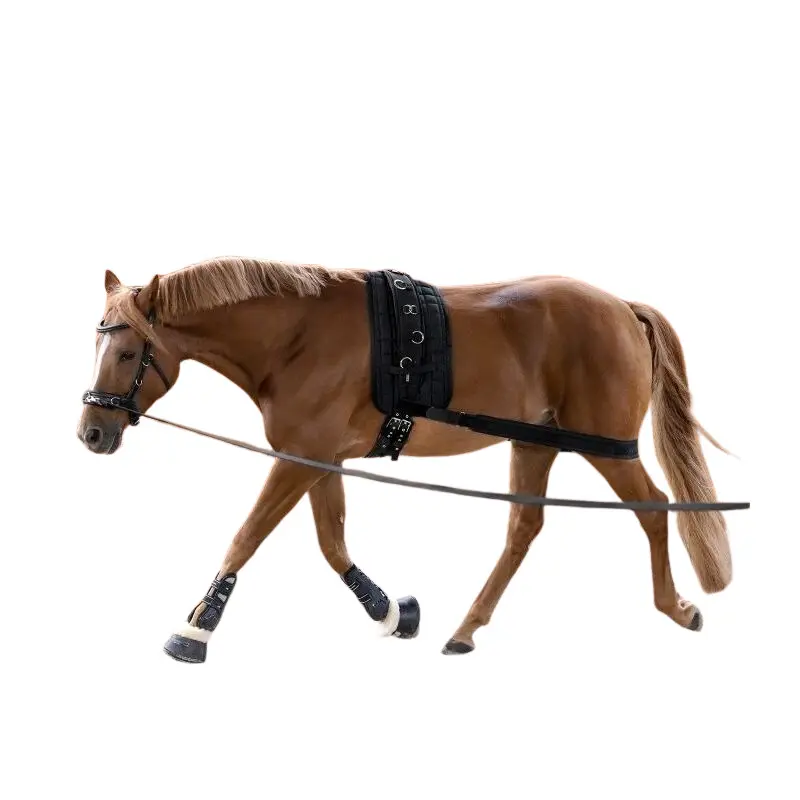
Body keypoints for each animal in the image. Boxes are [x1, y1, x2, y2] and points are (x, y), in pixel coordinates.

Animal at [77, 257, 733, 663]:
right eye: (96, 343)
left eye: (130, 351)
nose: (92, 432)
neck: (297, 336)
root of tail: (622, 306)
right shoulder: (322, 459)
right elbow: (332, 543)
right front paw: (393, 613)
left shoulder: (299, 456)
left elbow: (248, 535)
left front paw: (195, 627)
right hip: (535, 441)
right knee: (524, 527)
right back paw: (465, 630)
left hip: (606, 446)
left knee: (654, 509)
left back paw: (676, 608)